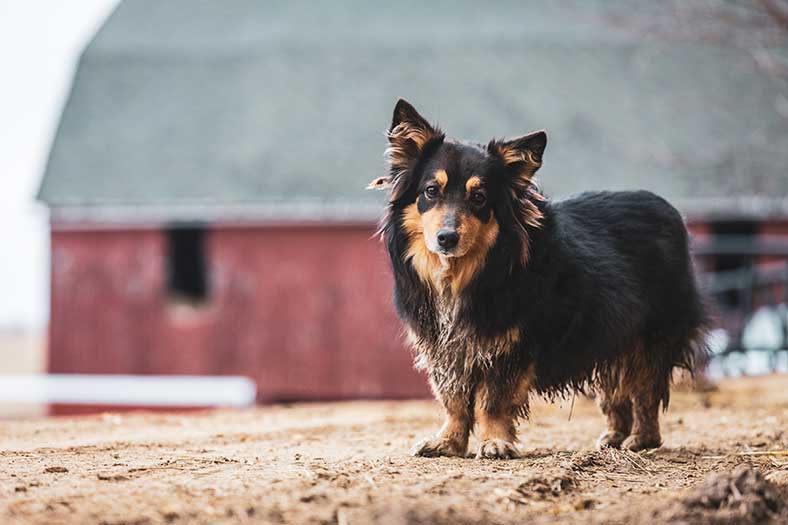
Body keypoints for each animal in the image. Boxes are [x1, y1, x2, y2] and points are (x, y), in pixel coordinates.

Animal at [370, 98, 708, 458]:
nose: (446, 239)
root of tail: (671, 210)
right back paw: (614, 437)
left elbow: (493, 400)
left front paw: (495, 442)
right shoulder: (444, 347)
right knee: (615, 390)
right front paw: (448, 442)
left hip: (651, 337)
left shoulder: (511, 346)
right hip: (610, 337)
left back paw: (642, 440)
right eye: (431, 191)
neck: (463, 274)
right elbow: (454, 400)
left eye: (479, 198)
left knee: (645, 390)